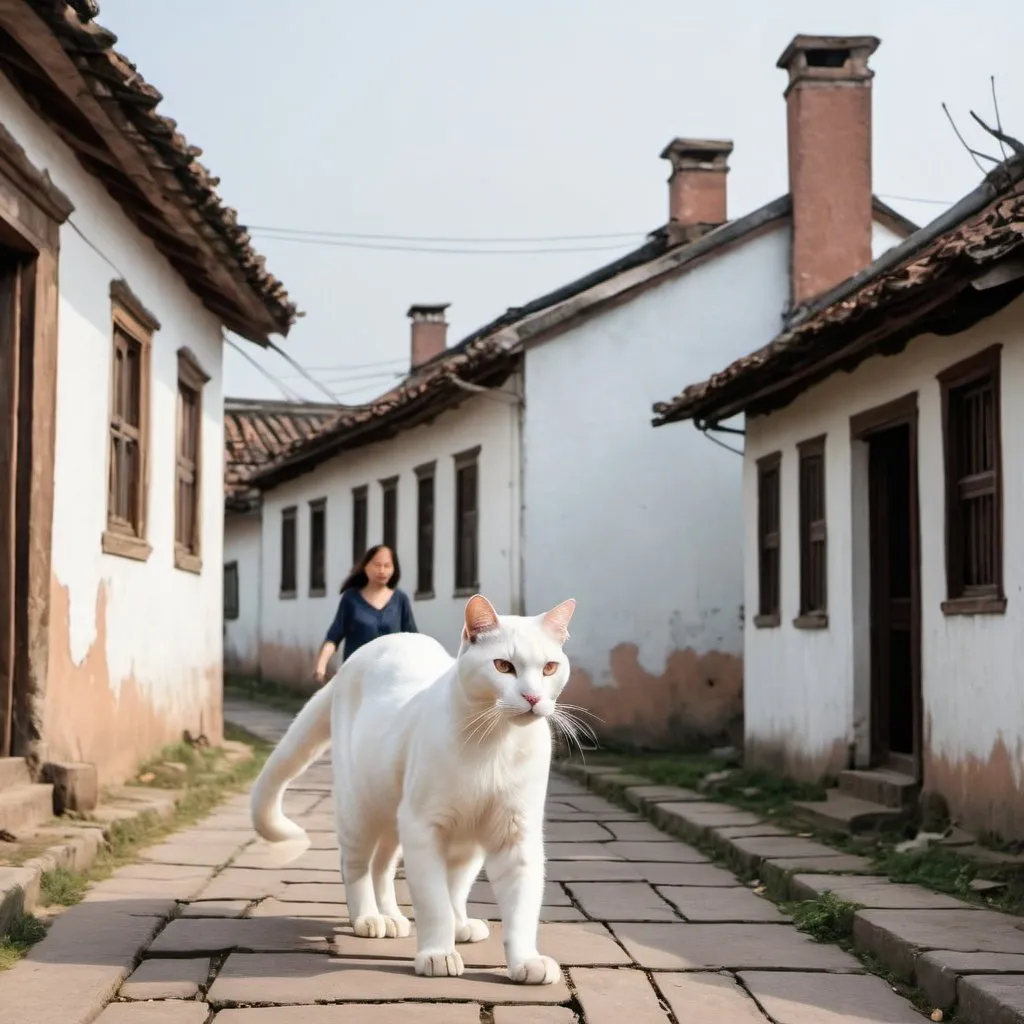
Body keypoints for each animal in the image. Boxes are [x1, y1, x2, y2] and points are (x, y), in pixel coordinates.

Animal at [249, 593, 577, 983]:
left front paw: (524, 961)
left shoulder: (514, 835)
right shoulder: (424, 826)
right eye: (503, 666)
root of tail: (361, 655)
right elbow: (434, 901)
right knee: (356, 866)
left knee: (385, 867)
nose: (532, 697)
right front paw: (438, 954)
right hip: (361, 811)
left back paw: (400, 918)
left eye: (549, 669)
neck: (496, 744)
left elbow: (513, 905)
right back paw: (369, 918)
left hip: (403, 822)